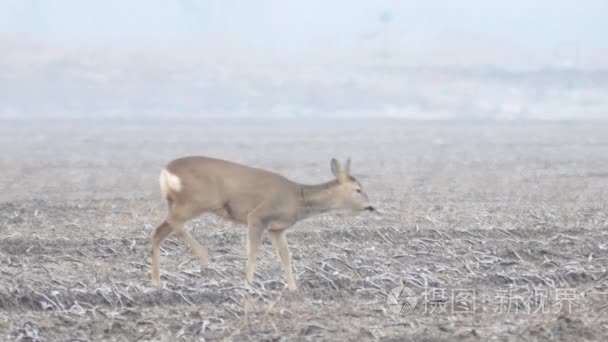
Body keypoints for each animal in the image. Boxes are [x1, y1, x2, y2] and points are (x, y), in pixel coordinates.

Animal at [150, 156, 372, 290]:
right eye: (358, 189)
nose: (370, 207)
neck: (298, 198)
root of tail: (166, 171)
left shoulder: (277, 229)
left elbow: (285, 256)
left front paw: (293, 288)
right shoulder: (258, 216)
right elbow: (253, 250)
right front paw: (248, 283)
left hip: (179, 203)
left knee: (159, 232)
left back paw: (156, 282)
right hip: (198, 201)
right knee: (171, 224)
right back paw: (203, 256)